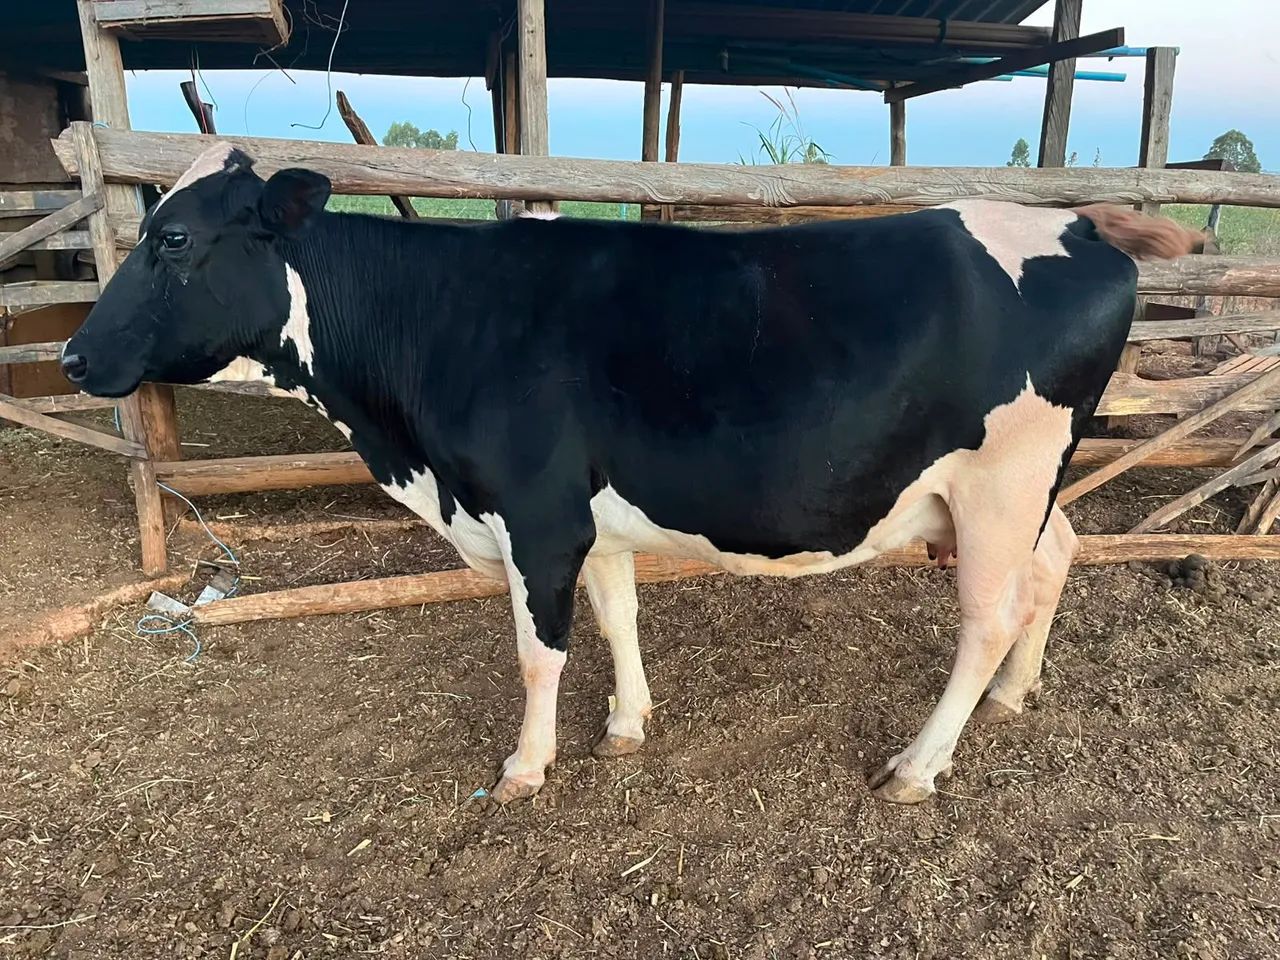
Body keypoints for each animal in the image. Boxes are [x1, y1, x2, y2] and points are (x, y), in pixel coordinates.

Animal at [61, 143, 1202, 805]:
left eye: (173, 238)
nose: (72, 356)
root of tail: (1076, 219)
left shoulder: (535, 515)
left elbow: (539, 654)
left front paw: (525, 768)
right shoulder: (588, 518)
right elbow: (616, 618)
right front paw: (624, 726)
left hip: (999, 483)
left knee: (986, 616)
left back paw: (918, 766)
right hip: (1026, 490)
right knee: (1058, 558)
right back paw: (1014, 697)